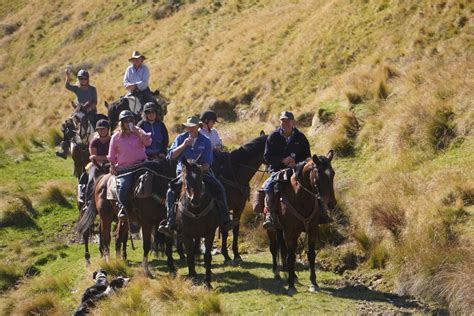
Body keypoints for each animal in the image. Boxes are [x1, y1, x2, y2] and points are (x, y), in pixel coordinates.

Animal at [268, 152, 338, 296]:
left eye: (333, 174)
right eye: (319, 175)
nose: (331, 203)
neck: (300, 198)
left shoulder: (312, 229)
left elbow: (310, 255)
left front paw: (313, 283)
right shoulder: (289, 231)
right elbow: (290, 257)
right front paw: (290, 286)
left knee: (284, 251)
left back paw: (293, 275)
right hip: (272, 230)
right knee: (274, 248)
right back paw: (277, 273)